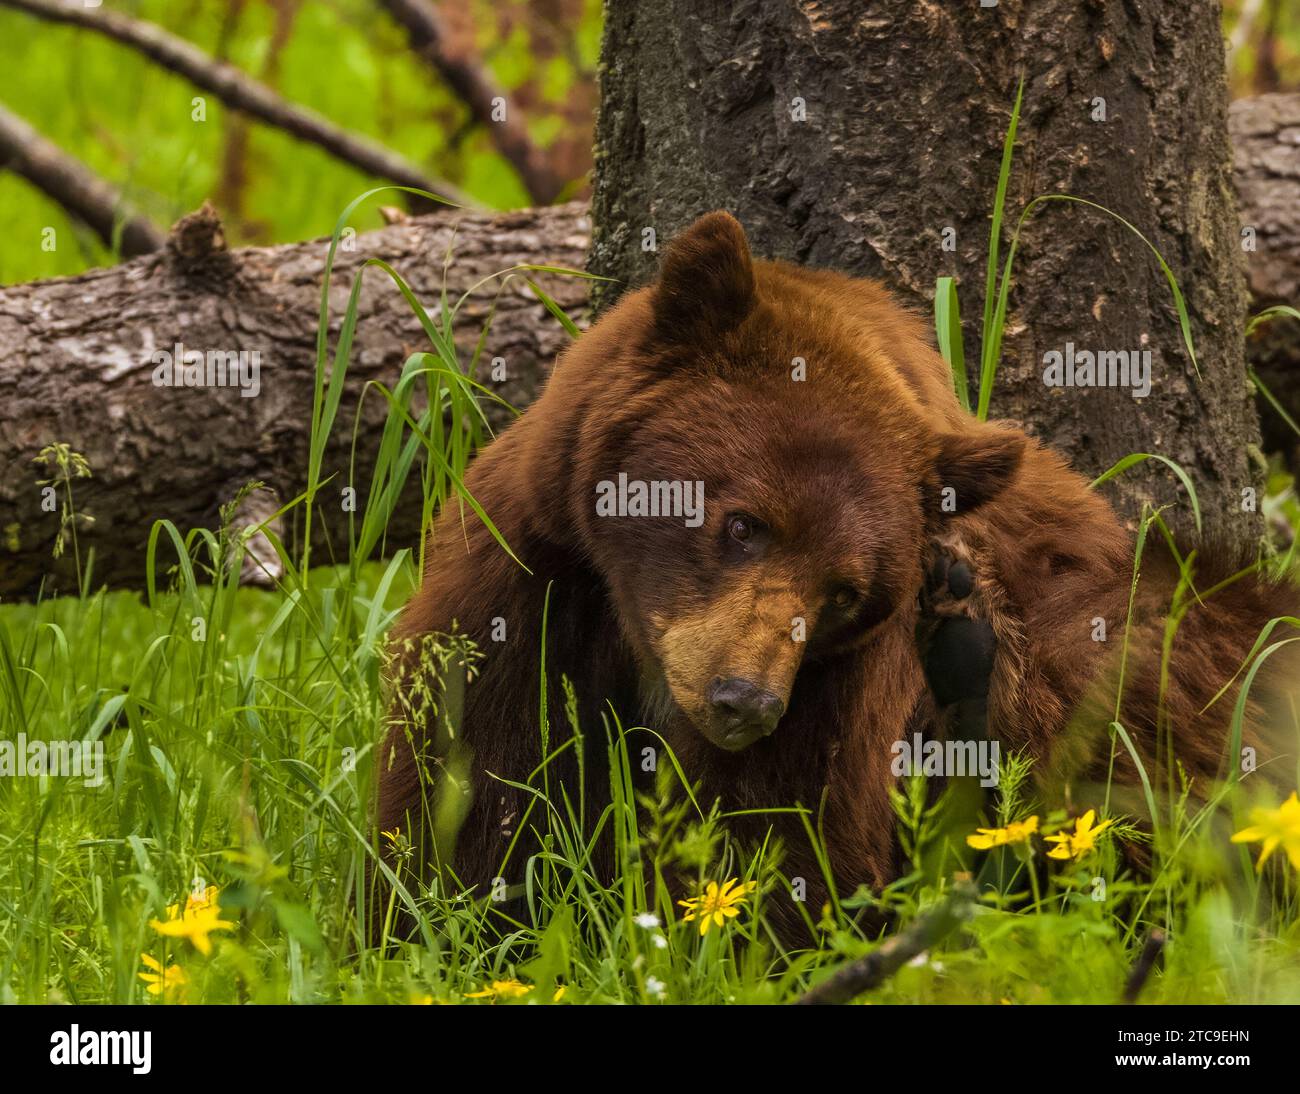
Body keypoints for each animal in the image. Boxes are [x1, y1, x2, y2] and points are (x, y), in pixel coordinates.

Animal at [370, 211, 1299, 944]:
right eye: (743, 523)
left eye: (843, 592)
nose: (743, 701)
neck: (633, 632)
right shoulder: (531, 581)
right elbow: (478, 788)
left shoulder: (844, 681)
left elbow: (785, 838)